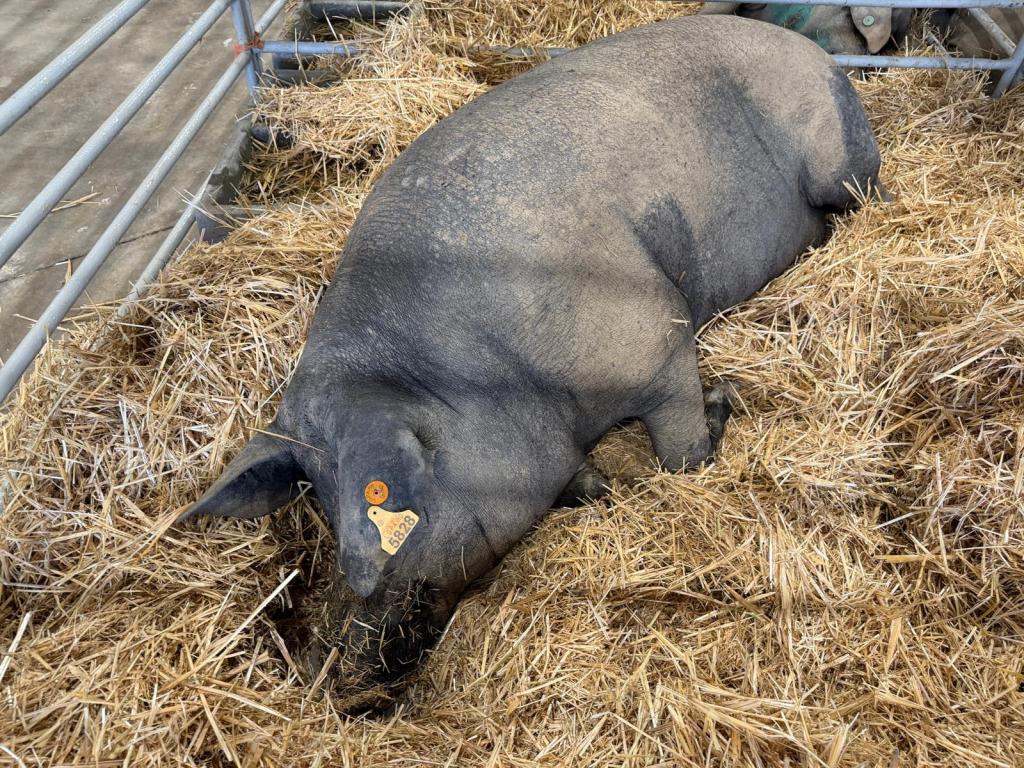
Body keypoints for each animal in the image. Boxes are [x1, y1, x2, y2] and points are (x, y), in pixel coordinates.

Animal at [179, 15, 882, 688]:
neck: (480, 368)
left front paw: (720, 403)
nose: (351, 671)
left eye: (383, 510)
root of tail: (811, 51)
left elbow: (682, 456)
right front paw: (600, 485)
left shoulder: (657, 340)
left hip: (839, 159)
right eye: (319, 502)